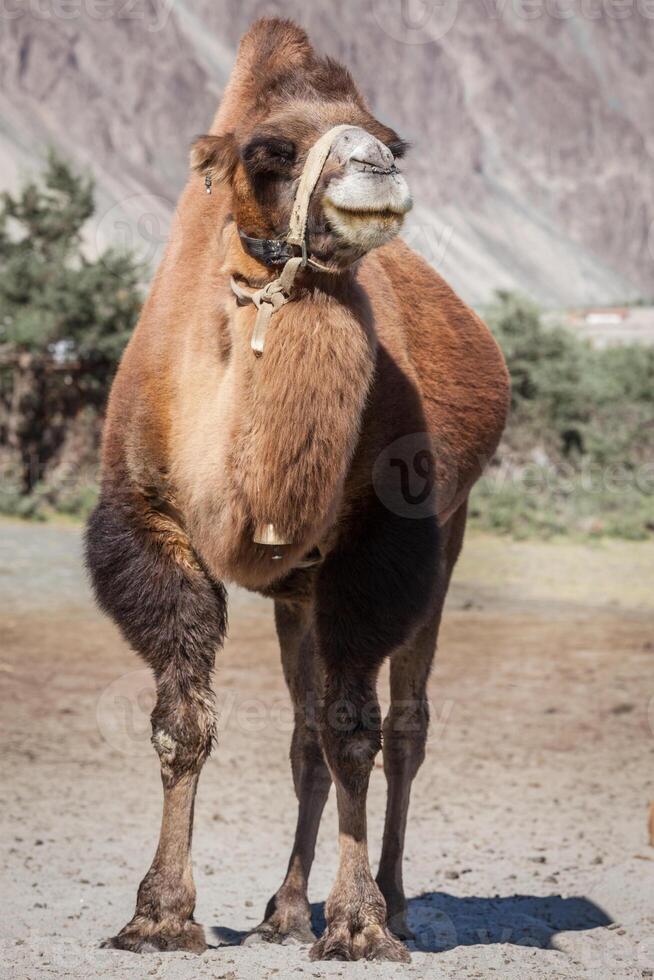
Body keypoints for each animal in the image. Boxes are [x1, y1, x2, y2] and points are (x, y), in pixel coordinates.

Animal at [83, 15, 512, 964]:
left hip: (448, 535)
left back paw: (396, 902)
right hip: (297, 595)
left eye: (392, 138)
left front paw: (356, 924)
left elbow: (356, 728)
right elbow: (185, 721)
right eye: (270, 149)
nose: (378, 170)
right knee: (302, 732)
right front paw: (160, 915)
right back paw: (282, 909)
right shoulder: (152, 522)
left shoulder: (379, 544)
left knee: (403, 725)